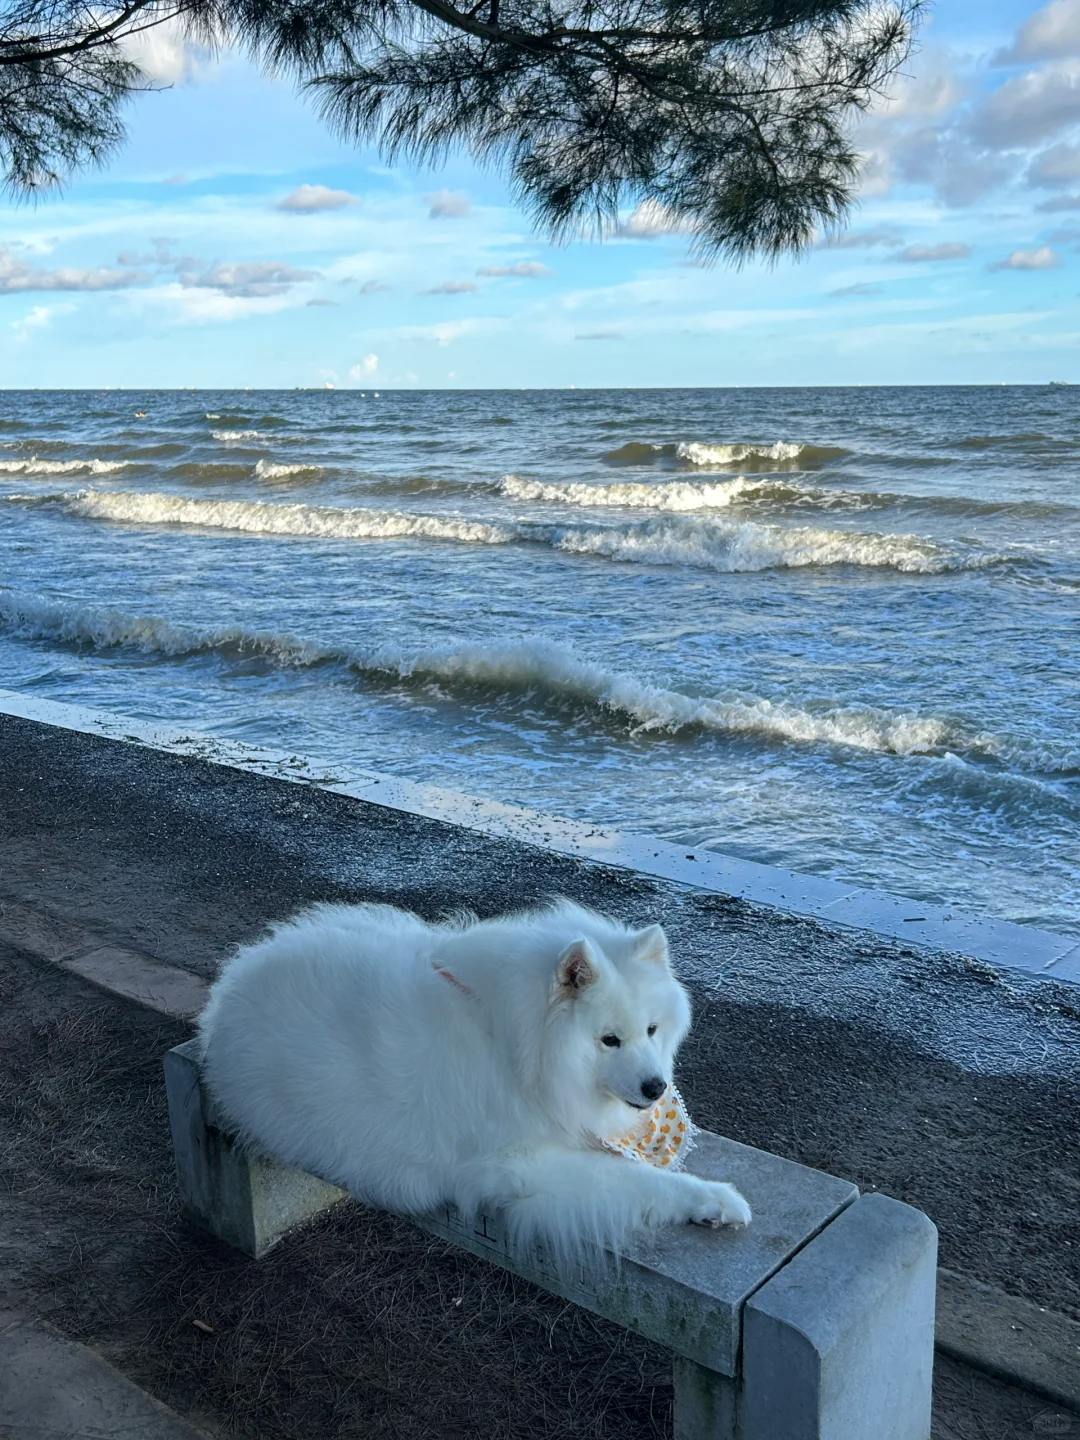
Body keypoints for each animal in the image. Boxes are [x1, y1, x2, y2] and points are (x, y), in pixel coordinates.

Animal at [197, 898, 754, 1261]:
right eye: (609, 1040)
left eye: (653, 1030)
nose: (655, 1088)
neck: (514, 1042)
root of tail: (227, 990)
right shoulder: (521, 1166)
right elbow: (639, 1180)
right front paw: (714, 1197)